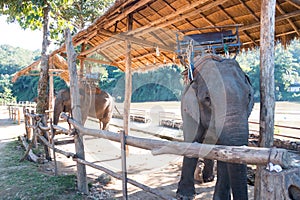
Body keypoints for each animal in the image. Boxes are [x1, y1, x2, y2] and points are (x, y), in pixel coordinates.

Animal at [176, 54, 253, 199]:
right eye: (207, 98)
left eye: (250, 96)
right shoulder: (189, 110)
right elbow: (192, 141)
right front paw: (184, 196)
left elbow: (224, 153)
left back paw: (208, 178)